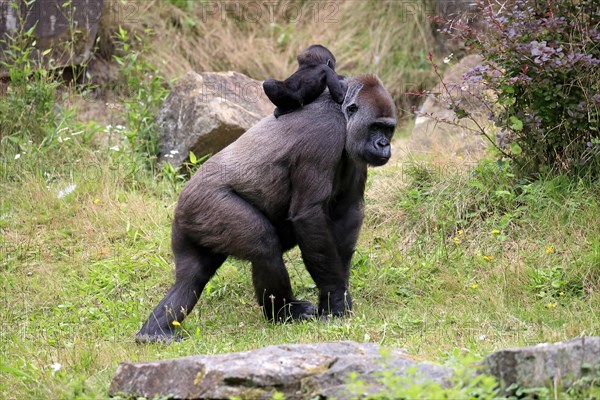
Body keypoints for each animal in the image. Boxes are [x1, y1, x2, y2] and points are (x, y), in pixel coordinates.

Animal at [138, 74, 396, 340]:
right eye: (375, 127)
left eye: (388, 129)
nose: (383, 145)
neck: (341, 112)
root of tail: (181, 202)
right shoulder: (325, 134)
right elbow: (309, 215)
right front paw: (334, 298)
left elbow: (347, 214)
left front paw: (337, 294)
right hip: (204, 206)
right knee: (264, 247)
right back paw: (282, 312)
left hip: (193, 222)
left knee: (191, 278)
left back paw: (154, 331)